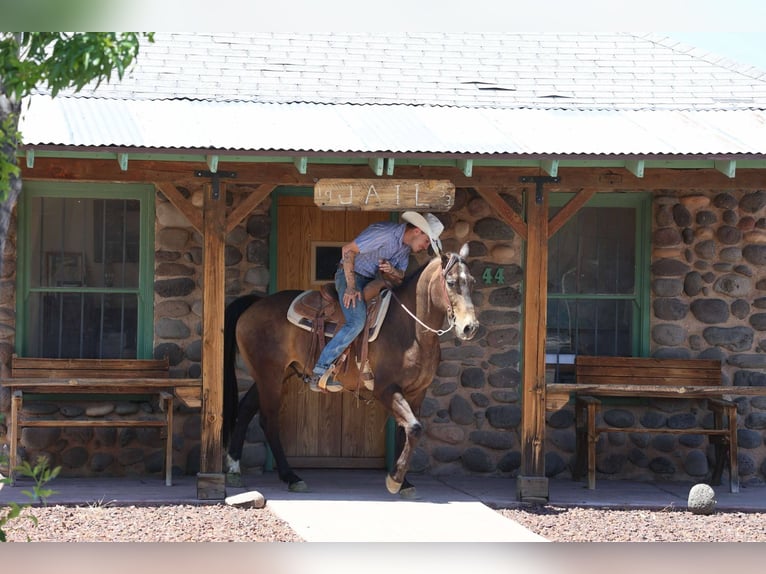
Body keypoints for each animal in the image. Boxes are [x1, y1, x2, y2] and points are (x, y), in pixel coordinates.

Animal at [222, 242, 479, 496]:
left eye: (472, 281)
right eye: (450, 282)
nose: (470, 327)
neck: (410, 329)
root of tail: (255, 304)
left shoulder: (417, 392)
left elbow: (405, 431)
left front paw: (404, 482)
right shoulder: (386, 389)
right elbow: (414, 428)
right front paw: (394, 480)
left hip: (277, 374)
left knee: (246, 410)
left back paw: (235, 470)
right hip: (270, 375)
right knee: (268, 419)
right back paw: (290, 476)